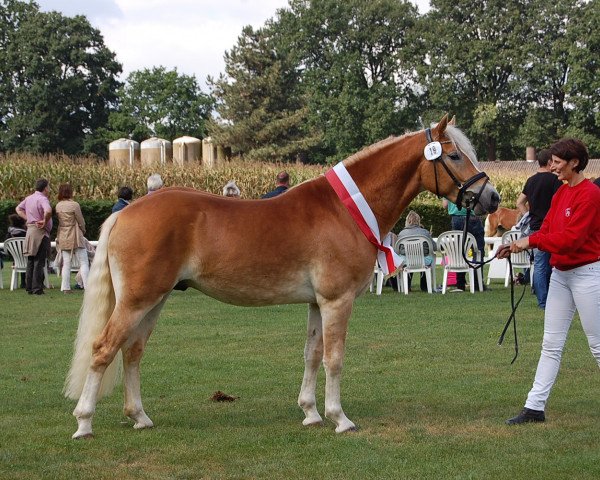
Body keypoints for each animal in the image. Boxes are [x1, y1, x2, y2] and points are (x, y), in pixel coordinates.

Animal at [63, 115, 500, 438]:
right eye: (454, 156)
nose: (492, 198)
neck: (346, 209)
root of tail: (127, 213)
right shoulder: (337, 301)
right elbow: (334, 358)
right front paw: (340, 418)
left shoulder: (317, 303)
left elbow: (312, 354)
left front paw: (311, 412)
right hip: (138, 300)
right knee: (103, 349)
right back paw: (84, 422)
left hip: (155, 299)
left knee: (132, 352)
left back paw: (139, 417)